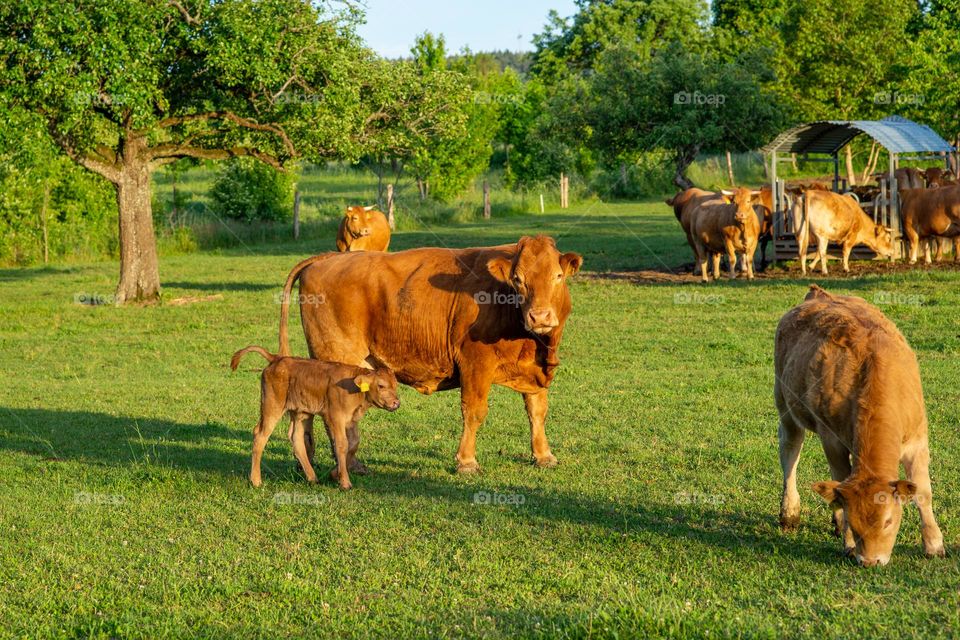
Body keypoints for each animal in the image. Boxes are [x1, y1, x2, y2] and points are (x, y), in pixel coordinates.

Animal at [231, 344, 400, 490]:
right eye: (381, 386)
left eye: (395, 385)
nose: (396, 403)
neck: (354, 388)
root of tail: (278, 359)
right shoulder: (335, 417)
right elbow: (341, 445)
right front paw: (345, 482)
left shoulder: (351, 420)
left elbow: (353, 443)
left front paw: (335, 474)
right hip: (272, 406)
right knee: (260, 435)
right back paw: (256, 480)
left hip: (301, 413)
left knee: (296, 438)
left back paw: (312, 478)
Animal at [274, 236, 580, 476]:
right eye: (518, 280)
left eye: (558, 276)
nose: (539, 316)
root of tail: (328, 258)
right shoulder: (475, 364)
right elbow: (474, 412)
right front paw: (467, 461)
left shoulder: (535, 372)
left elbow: (537, 410)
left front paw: (543, 455)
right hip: (337, 356)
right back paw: (345, 465)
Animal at [772, 284, 944, 564]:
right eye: (855, 523)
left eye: (888, 521)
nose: (870, 562)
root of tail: (819, 293)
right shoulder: (831, 438)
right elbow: (840, 483)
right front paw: (848, 541)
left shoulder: (918, 440)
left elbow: (923, 492)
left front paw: (934, 544)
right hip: (784, 404)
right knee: (790, 452)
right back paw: (790, 513)